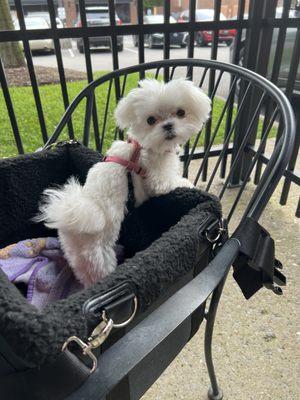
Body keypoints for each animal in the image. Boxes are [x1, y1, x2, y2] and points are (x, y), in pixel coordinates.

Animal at [36, 78, 211, 288]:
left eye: (181, 112)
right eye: (150, 120)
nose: (168, 126)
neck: (144, 147)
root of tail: (73, 217)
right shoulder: (158, 179)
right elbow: (174, 182)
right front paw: (190, 185)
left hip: (76, 255)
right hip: (100, 254)